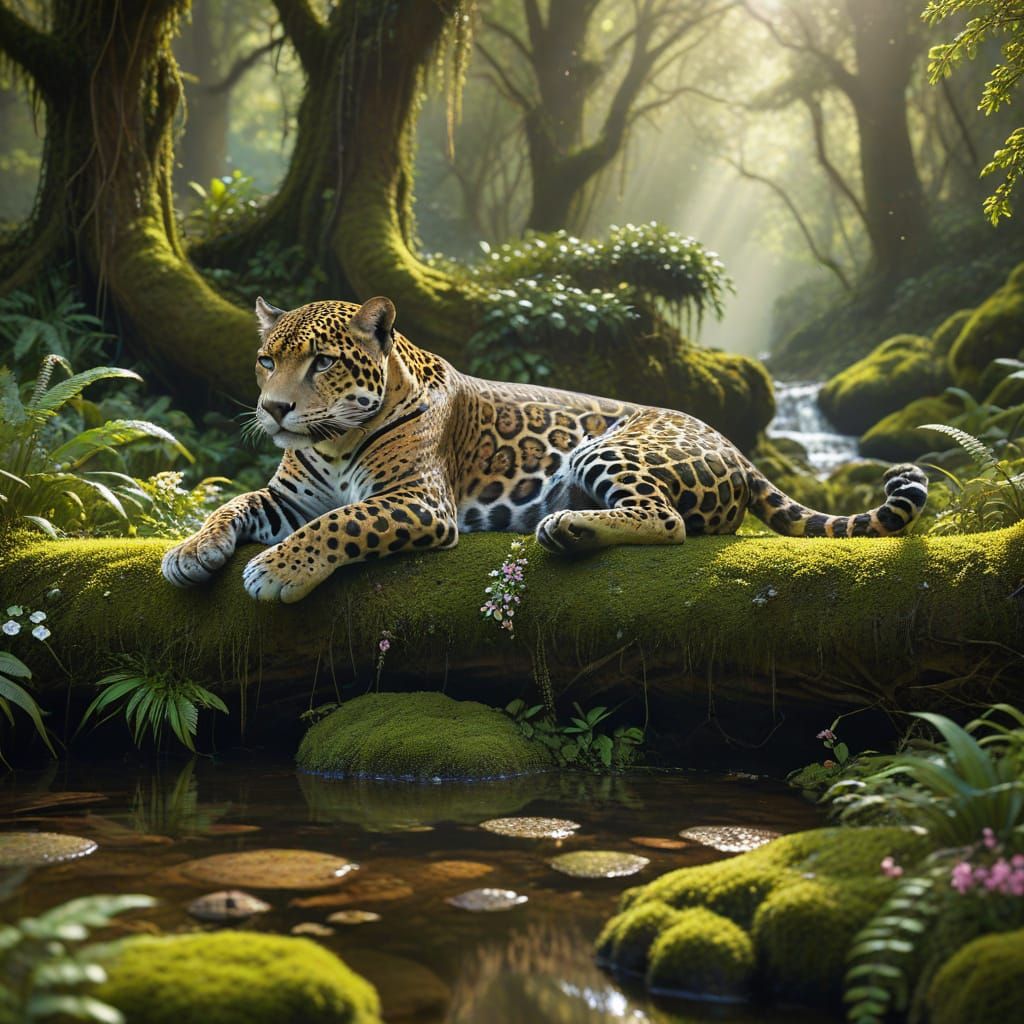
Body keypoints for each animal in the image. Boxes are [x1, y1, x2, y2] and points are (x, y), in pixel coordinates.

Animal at [162, 296, 929, 603]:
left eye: (321, 362)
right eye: (267, 360)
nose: (274, 408)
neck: (334, 441)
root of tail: (735, 446)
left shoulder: (418, 502)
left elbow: (341, 522)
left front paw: (276, 570)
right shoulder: (286, 497)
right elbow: (232, 504)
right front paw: (189, 551)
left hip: (610, 449)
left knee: (669, 521)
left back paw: (568, 526)